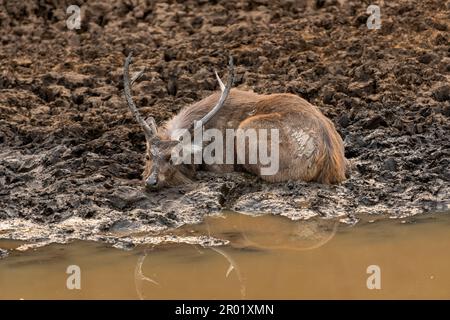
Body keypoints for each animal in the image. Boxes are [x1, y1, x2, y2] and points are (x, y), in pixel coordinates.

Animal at [123, 52, 348, 190]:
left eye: (174, 157)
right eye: (147, 156)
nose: (151, 182)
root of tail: (330, 161)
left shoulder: (221, 163)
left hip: (248, 131)